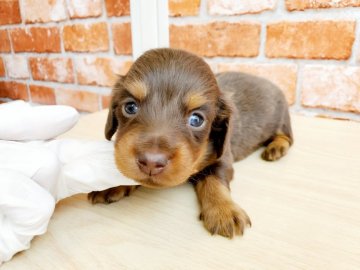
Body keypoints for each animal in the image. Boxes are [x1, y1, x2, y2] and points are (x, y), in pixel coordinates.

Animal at [89, 48, 292, 238]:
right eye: (130, 107)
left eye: (196, 119)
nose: (151, 163)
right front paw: (110, 185)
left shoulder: (223, 157)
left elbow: (213, 178)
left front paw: (223, 210)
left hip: (282, 118)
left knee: (287, 137)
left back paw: (276, 148)